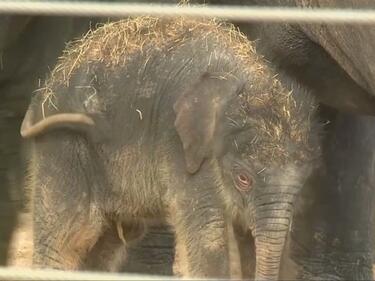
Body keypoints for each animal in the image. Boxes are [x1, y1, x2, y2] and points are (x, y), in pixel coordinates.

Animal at [21, 17, 320, 278]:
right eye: (243, 178)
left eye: (303, 183)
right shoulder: (182, 149)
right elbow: (209, 237)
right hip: (62, 144)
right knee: (69, 235)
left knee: (106, 243)